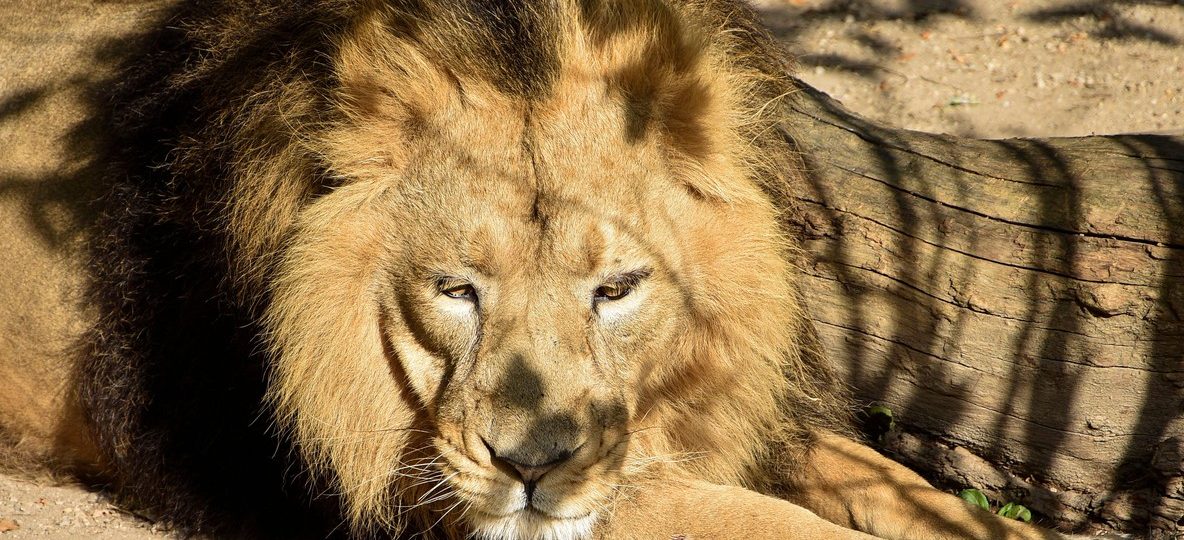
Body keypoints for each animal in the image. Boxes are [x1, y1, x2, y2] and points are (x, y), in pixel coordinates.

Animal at [0, 0, 1099, 539]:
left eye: (616, 291)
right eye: (455, 291)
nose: (529, 470)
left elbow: (903, 490)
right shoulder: (423, 498)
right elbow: (760, 524)